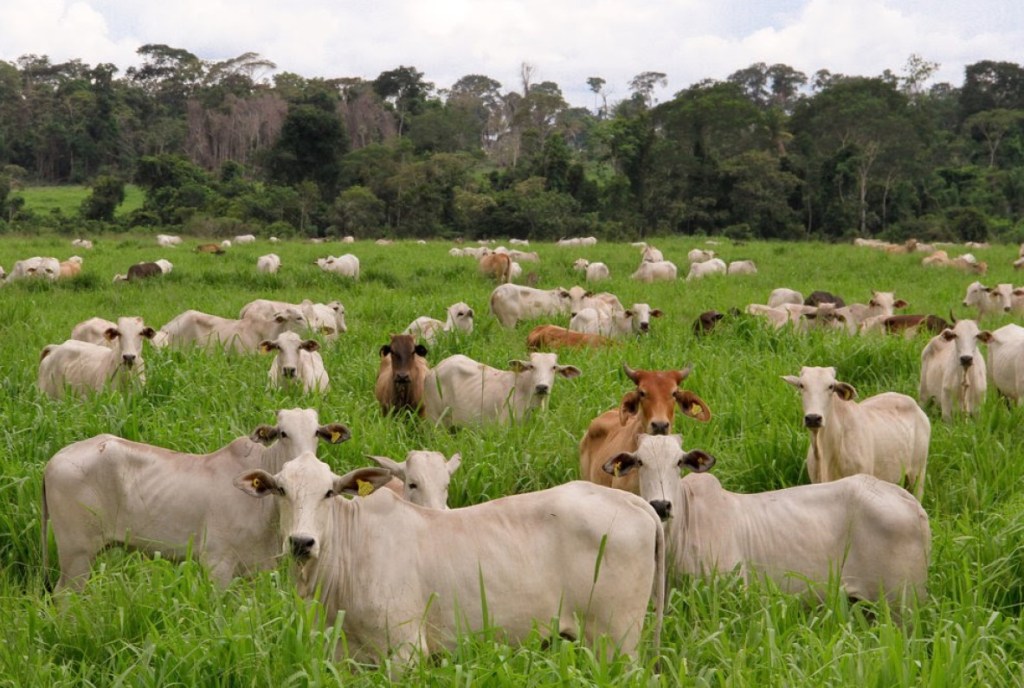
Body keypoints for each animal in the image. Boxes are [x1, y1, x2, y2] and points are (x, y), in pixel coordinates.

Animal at [42, 408, 351, 592]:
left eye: (316, 432)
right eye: (283, 433)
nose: (305, 459)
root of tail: (53, 461)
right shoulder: (217, 563)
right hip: (76, 554)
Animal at [234, 452, 664, 669]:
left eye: (328, 492)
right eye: (281, 490)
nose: (301, 542)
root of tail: (631, 500)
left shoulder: (405, 650)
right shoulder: (344, 654)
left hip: (617, 640)